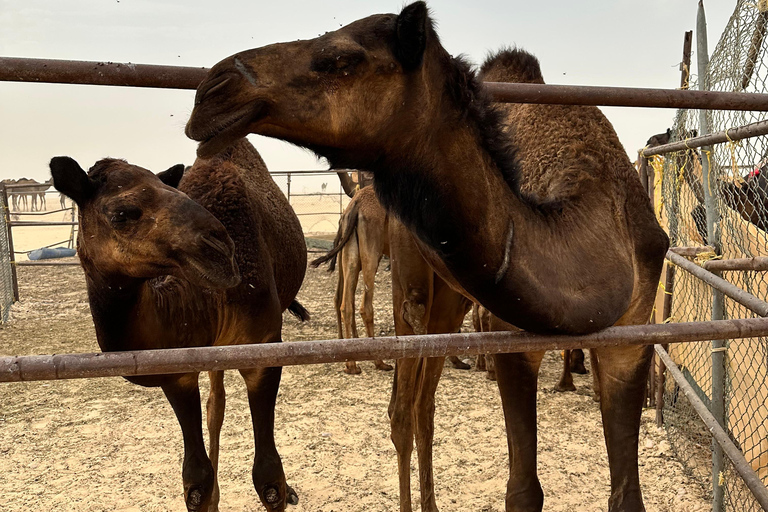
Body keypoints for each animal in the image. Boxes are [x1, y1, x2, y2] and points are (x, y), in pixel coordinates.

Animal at [48, 137, 308, 512]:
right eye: (121, 214)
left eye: (175, 193)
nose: (221, 249)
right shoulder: (177, 369)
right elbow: (196, 481)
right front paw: (209, 497)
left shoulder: (264, 349)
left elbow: (269, 479)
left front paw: (283, 490)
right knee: (216, 405)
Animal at [314, 184, 472, 372]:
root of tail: (355, 205)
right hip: (371, 246)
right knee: (365, 305)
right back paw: (378, 362)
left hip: (350, 251)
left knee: (345, 301)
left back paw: (351, 362)